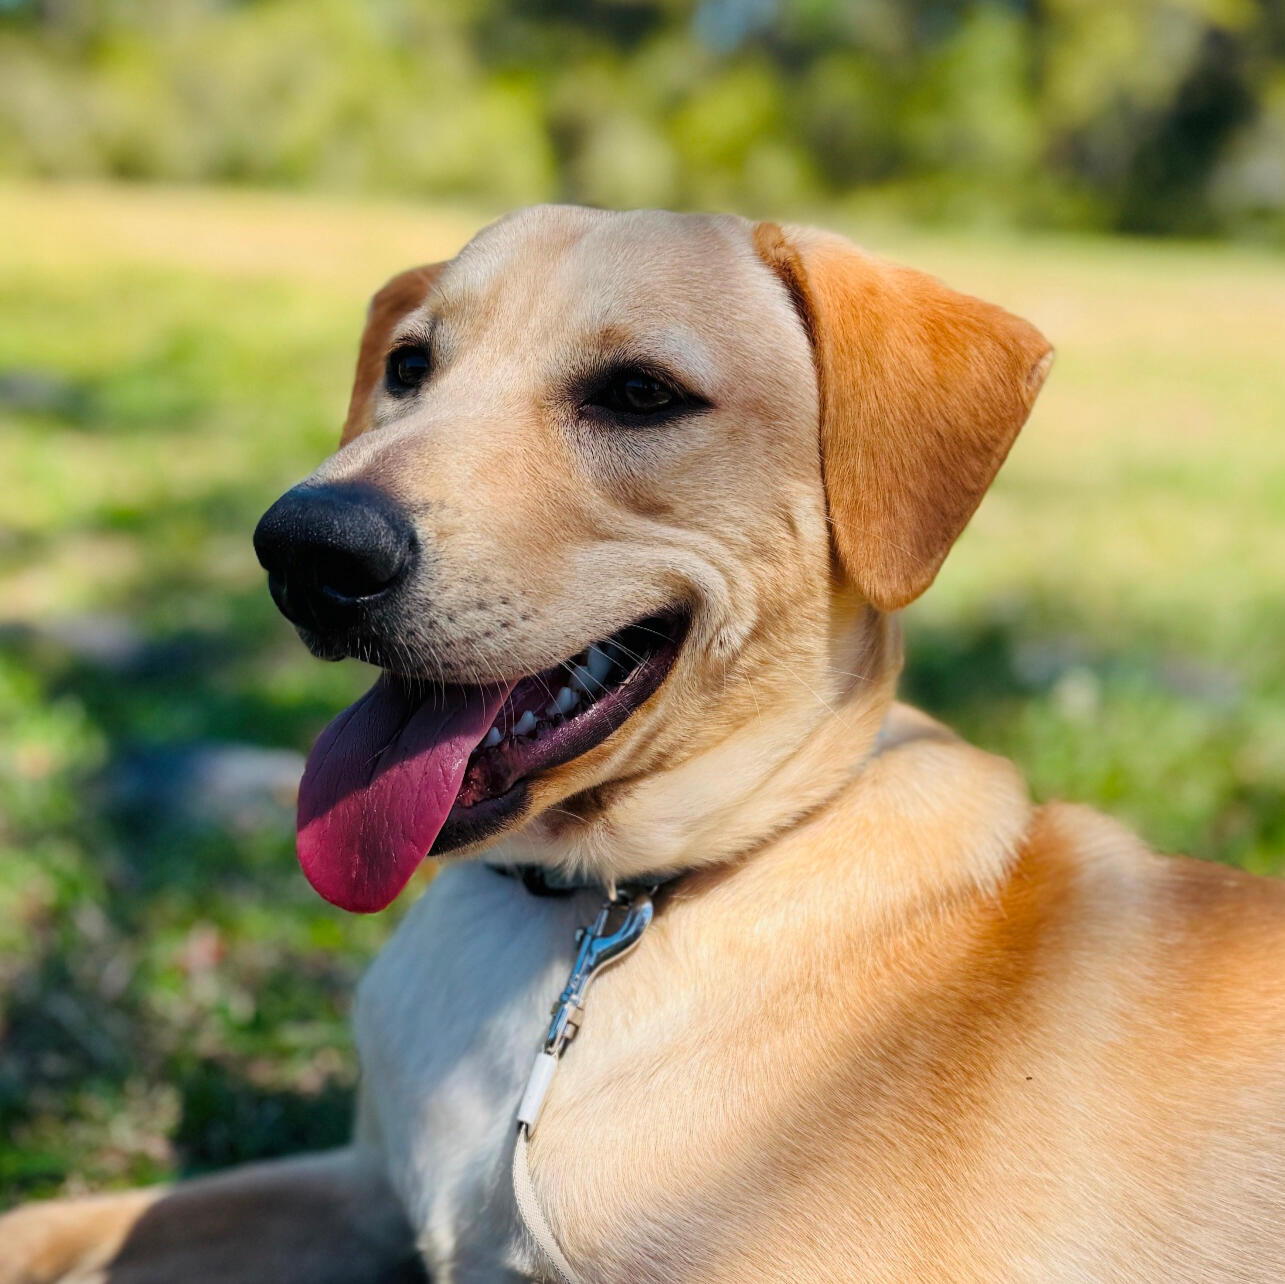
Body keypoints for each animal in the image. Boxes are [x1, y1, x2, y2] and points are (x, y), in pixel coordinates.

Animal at [3, 207, 1283, 1283]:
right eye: (410, 368)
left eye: (638, 394)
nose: (305, 550)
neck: (595, 906)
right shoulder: (363, 1194)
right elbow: (78, 1221)